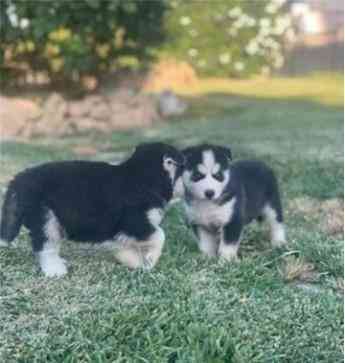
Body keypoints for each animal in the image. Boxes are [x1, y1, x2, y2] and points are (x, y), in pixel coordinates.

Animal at [0, 142, 185, 276]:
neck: (144, 179)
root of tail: (21, 178)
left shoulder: (122, 231)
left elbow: (124, 246)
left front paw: (133, 262)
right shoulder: (135, 222)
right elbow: (160, 235)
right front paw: (150, 259)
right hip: (47, 220)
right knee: (45, 247)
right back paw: (55, 270)